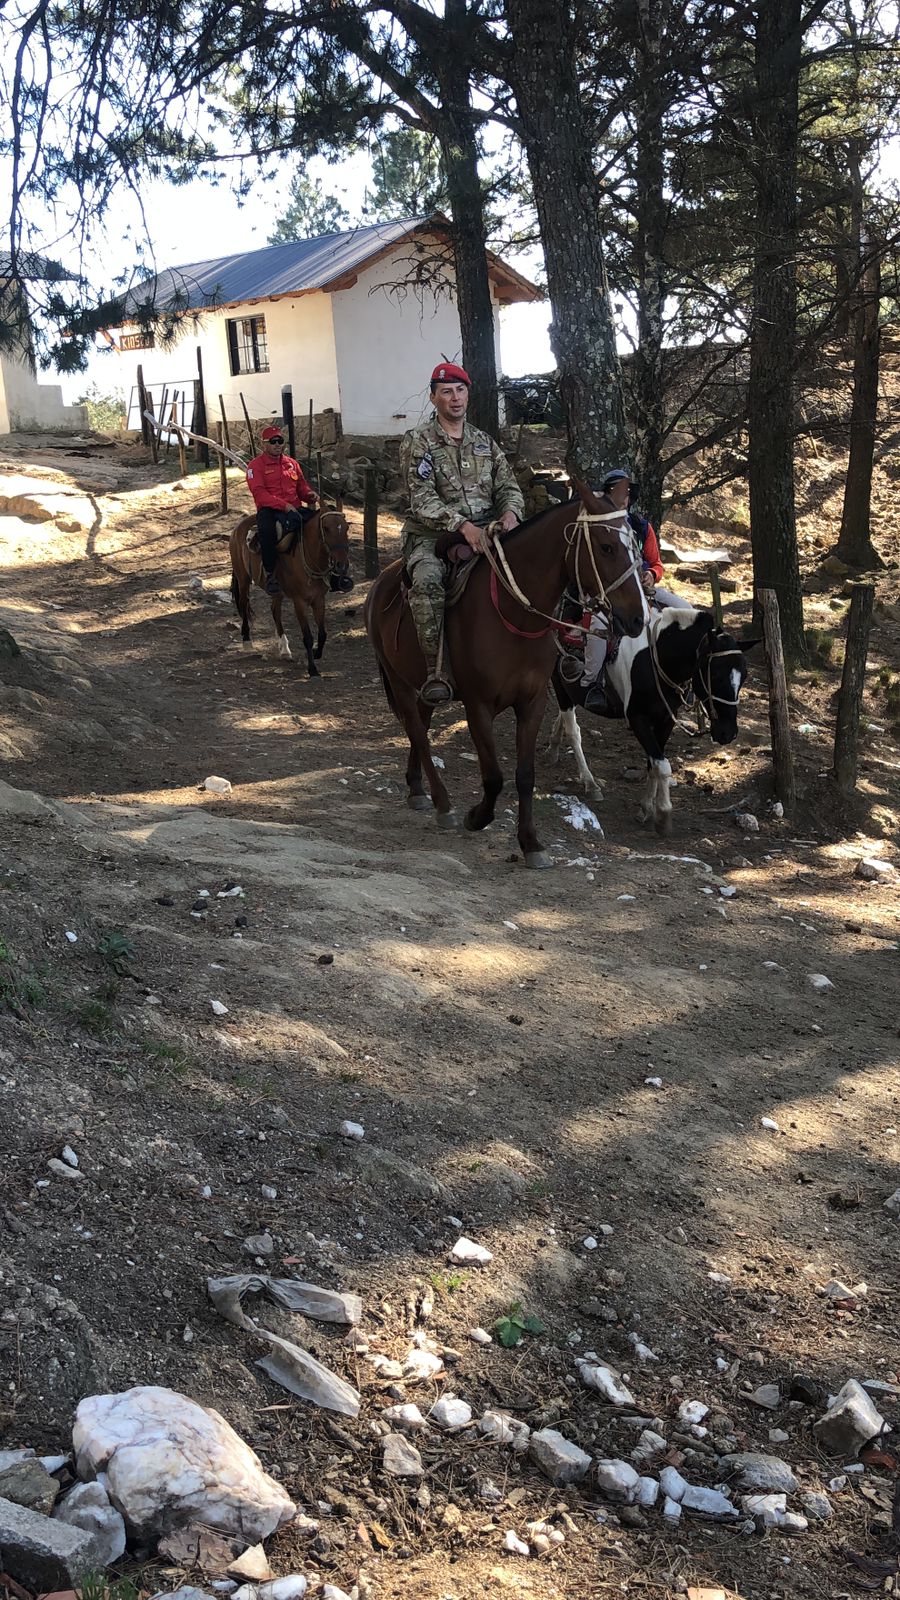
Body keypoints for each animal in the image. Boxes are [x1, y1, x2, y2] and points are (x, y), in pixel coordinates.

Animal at [229, 505, 353, 675]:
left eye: (346, 527)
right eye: (326, 528)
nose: (342, 565)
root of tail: (237, 528)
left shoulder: (319, 600)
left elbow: (322, 634)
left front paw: (316, 653)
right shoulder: (299, 602)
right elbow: (308, 637)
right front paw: (312, 669)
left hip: (277, 592)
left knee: (275, 611)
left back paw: (285, 650)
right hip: (243, 578)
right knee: (243, 604)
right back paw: (247, 640)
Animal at [364, 483, 647, 868]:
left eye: (635, 544)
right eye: (606, 547)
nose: (638, 617)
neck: (514, 614)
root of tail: (381, 582)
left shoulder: (533, 702)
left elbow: (525, 776)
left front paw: (531, 844)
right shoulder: (478, 705)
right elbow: (494, 775)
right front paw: (477, 817)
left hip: (421, 684)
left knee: (419, 725)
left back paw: (417, 789)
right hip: (398, 680)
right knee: (418, 733)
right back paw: (442, 803)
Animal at [548, 606, 759, 834]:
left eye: (744, 676)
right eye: (717, 675)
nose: (728, 733)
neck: (657, 662)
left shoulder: (666, 720)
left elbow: (653, 763)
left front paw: (646, 808)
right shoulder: (637, 719)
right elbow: (662, 765)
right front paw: (663, 815)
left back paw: (553, 747)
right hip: (560, 685)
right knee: (574, 732)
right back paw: (590, 782)